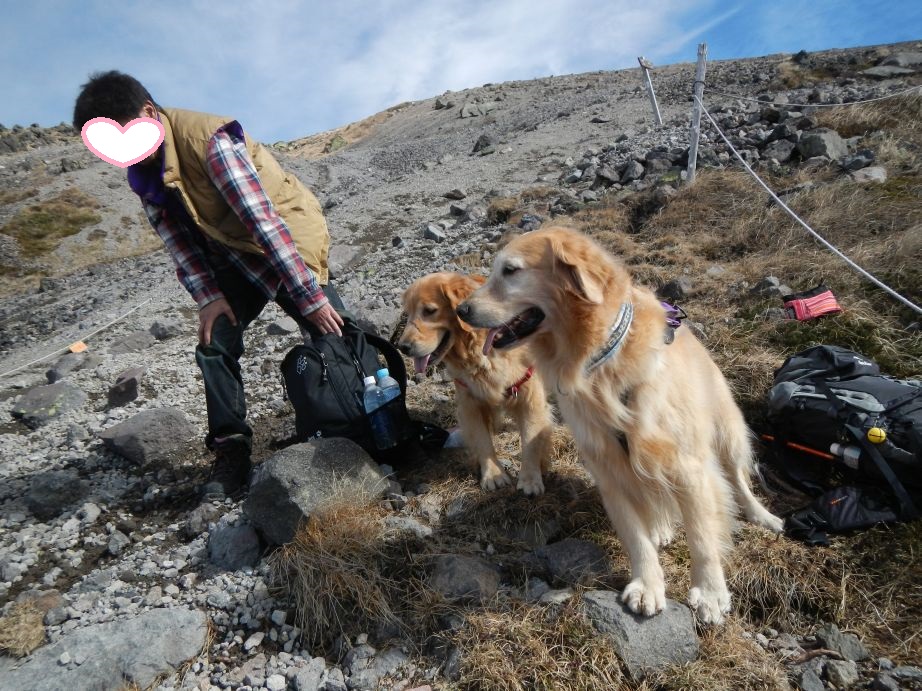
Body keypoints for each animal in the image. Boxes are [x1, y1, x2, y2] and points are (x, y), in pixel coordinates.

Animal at [398, 274, 552, 494]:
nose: (402, 347)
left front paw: (530, 479)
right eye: (407, 313)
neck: (478, 351)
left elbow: (531, 437)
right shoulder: (470, 403)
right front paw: (494, 474)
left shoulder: (530, 395)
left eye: (429, 311)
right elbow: (483, 440)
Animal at [456, 228, 780, 628]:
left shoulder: (688, 466)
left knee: (738, 480)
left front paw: (709, 591)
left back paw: (761, 515)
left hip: (726, 433)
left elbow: (703, 536)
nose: (461, 311)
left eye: (511, 270)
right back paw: (661, 528)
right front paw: (647, 584)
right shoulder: (608, 468)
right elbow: (635, 535)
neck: (598, 359)